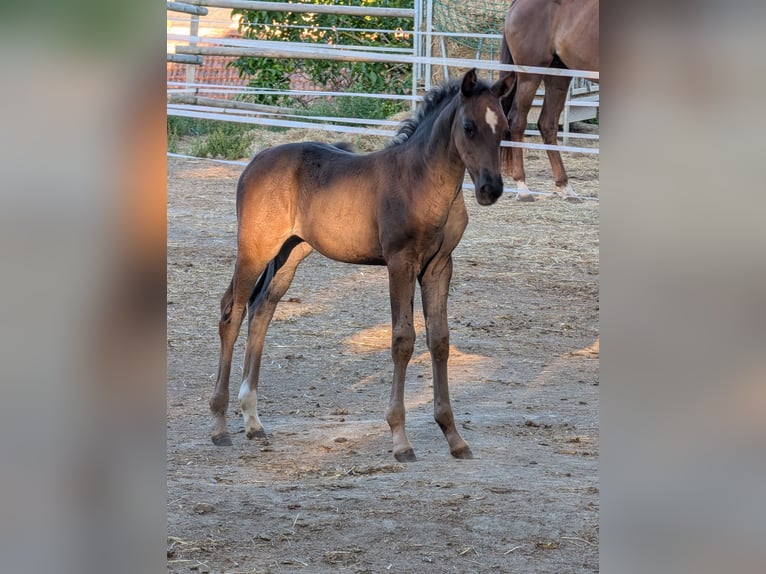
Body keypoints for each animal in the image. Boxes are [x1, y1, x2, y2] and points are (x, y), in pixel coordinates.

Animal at [209, 69, 513, 462]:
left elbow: (440, 340)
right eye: (468, 126)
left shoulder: (439, 267)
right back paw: (219, 426)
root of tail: (256, 160)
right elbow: (403, 339)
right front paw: (400, 440)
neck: (422, 181)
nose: (491, 188)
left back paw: (253, 421)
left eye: (504, 127)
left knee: (262, 310)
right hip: (255, 249)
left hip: (291, 252)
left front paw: (454, 437)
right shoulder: (400, 263)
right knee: (232, 312)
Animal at [499, 0, 599, 201]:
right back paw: (523, 188)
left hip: (558, 75)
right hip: (530, 75)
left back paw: (565, 187)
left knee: (548, 124)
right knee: (517, 121)